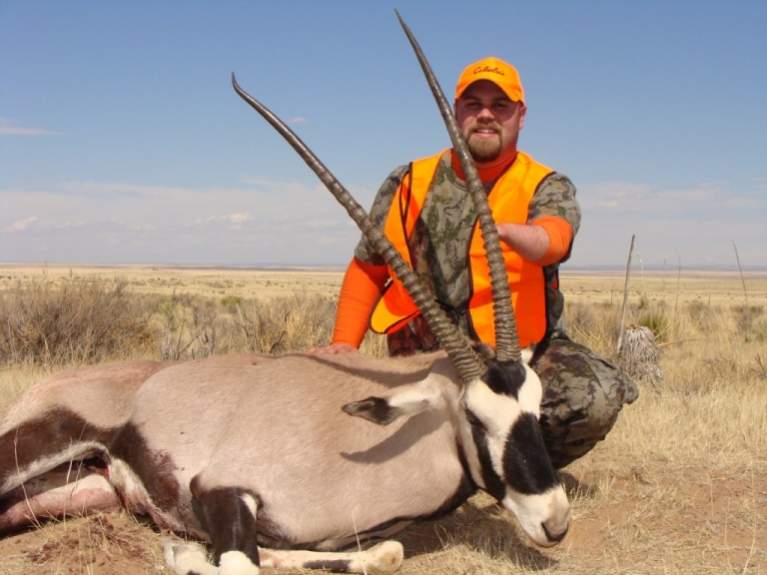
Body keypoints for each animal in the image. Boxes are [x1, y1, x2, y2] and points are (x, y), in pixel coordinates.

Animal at [0, 13, 568, 575]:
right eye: (475, 418)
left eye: (537, 408)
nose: (555, 521)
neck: (360, 439)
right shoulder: (221, 488)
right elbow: (239, 563)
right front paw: (183, 552)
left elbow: (381, 552)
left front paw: (186, 549)